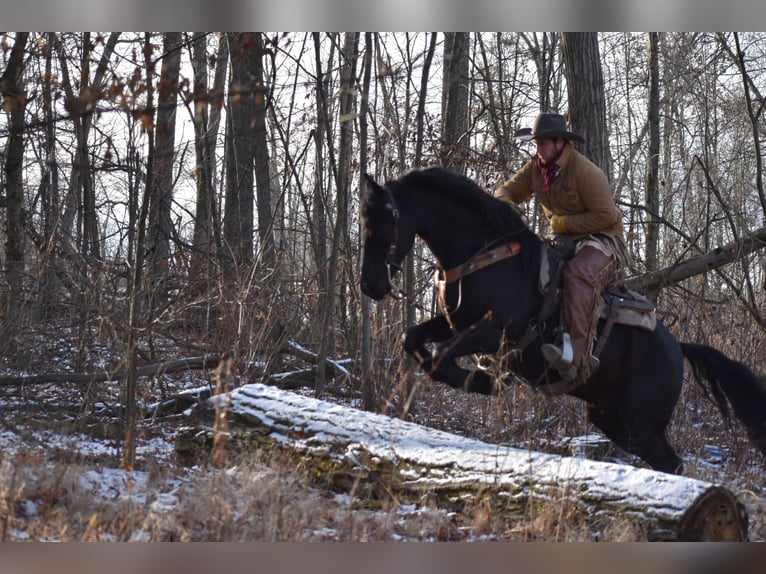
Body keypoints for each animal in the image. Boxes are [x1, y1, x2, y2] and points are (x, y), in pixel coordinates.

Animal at [362, 164, 766, 474]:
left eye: (385, 221)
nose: (370, 285)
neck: (484, 254)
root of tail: (677, 348)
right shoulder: (458, 323)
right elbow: (414, 340)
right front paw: (481, 379)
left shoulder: (495, 330)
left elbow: (441, 354)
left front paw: (485, 381)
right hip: (612, 418)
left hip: (642, 423)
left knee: (672, 464)